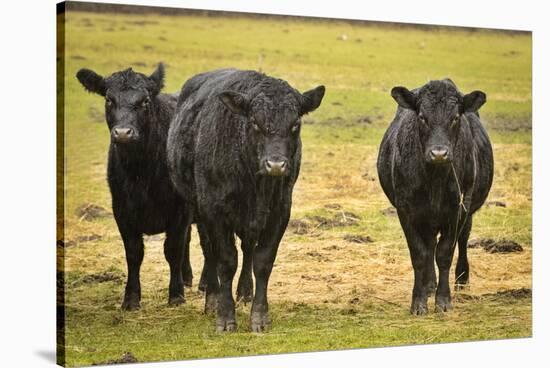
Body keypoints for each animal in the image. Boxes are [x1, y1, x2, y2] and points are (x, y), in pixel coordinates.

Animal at [75, 64, 196, 310]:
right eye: (109, 99)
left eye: (144, 101)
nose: (123, 133)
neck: (142, 171)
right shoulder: (122, 210)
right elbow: (134, 253)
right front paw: (130, 299)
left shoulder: (180, 210)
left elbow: (173, 250)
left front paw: (176, 295)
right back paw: (187, 277)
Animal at [166, 68, 326, 330]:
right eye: (254, 122)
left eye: (295, 124)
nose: (276, 164)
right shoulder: (214, 211)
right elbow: (226, 261)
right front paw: (225, 316)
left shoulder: (279, 212)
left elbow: (262, 261)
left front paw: (259, 316)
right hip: (199, 210)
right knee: (210, 252)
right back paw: (212, 299)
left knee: (248, 248)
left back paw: (244, 291)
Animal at [380, 79, 496, 314]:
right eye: (422, 116)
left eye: (455, 117)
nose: (439, 153)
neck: (434, 179)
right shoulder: (406, 211)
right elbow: (419, 254)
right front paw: (419, 300)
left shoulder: (456, 210)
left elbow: (444, 254)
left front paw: (443, 300)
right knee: (429, 245)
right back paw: (429, 284)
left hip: (466, 210)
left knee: (462, 239)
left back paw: (461, 279)